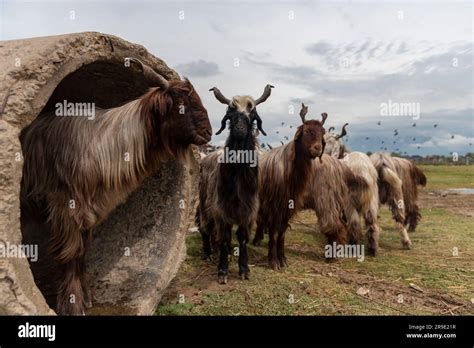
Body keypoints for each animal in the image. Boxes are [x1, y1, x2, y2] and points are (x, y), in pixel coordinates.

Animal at [20, 59, 212, 316]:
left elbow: (84, 250)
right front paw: (73, 302)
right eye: (182, 104)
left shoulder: (89, 212)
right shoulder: (68, 206)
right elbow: (72, 251)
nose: (208, 133)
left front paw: (87, 294)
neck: (103, 145)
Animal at [196, 83, 270, 282]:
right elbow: (224, 237)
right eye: (230, 113)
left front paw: (244, 269)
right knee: (205, 227)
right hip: (205, 202)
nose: (240, 130)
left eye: (252, 114)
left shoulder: (248, 211)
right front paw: (222, 271)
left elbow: (242, 238)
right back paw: (208, 252)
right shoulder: (221, 210)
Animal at [256, 103, 326, 270]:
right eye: (307, 131)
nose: (317, 148)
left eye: (323, 132)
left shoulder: (288, 206)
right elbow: (274, 232)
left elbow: (282, 232)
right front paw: (273, 261)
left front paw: (282, 259)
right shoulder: (274, 207)